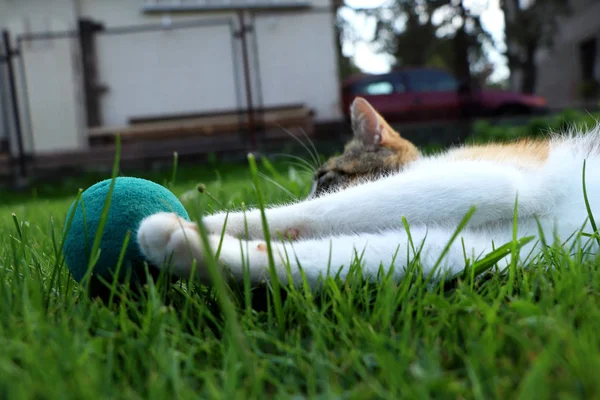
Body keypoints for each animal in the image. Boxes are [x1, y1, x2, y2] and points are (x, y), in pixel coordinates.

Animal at [136, 98, 600, 290]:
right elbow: (353, 256)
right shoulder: (504, 248)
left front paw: (202, 223)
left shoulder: (490, 177)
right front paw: (193, 248)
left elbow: (324, 211)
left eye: (325, 180)